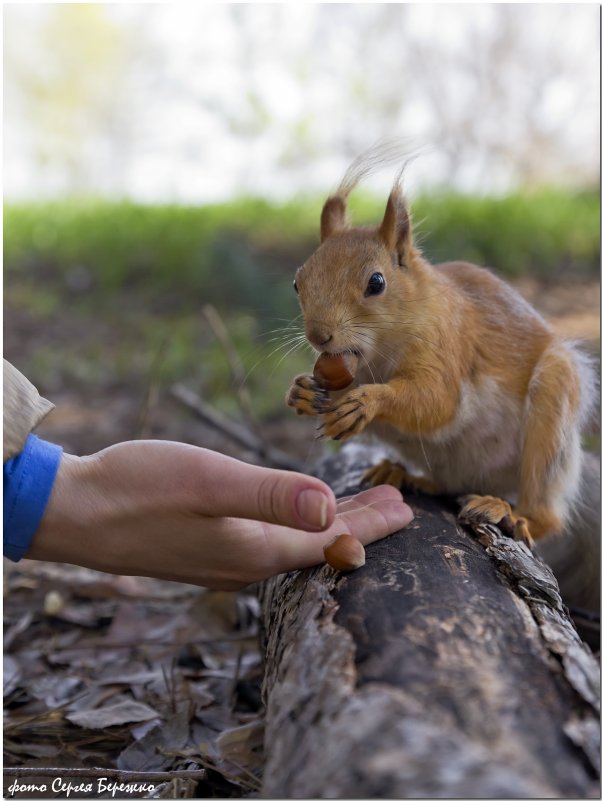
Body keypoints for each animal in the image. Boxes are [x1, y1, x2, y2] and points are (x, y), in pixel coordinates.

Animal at [286, 148, 596, 552]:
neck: (378, 356)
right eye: (298, 282)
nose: (319, 336)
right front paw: (303, 391)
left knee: (545, 511)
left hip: (552, 414)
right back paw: (404, 473)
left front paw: (366, 402)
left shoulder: (446, 346)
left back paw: (512, 513)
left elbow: (438, 400)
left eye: (376, 282)